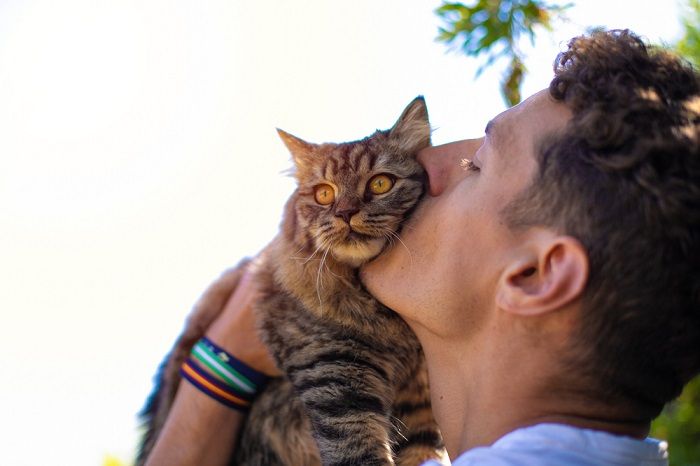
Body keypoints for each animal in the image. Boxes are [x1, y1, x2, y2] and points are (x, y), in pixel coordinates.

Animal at [137, 96, 442, 464]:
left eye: (380, 183)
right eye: (324, 194)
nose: (345, 213)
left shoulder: (420, 402)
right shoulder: (336, 374)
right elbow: (360, 451)